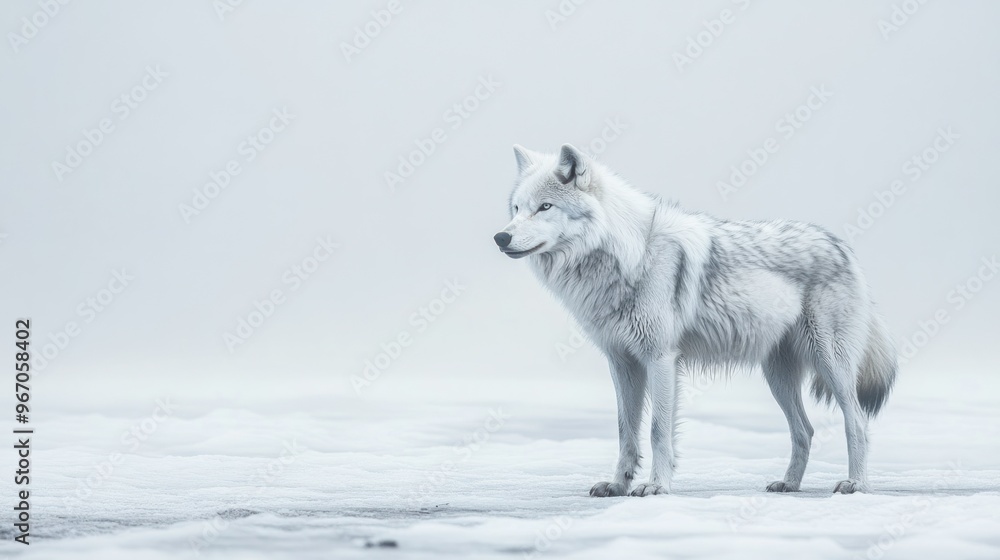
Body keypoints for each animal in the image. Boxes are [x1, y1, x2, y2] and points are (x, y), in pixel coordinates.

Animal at [493, 144, 897, 496]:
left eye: (544, 207)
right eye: (516, 208)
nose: (500, 237)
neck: (627, 256)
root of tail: (841, 246)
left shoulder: (660, 359)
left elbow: (658, 430)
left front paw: (656, 486)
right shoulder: (622, 363)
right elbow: (626, 432)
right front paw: (618, 485)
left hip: (830, 364)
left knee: (857, 422)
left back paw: (856, 484)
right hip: (778, 376)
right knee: (805, 431)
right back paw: (789, 484)